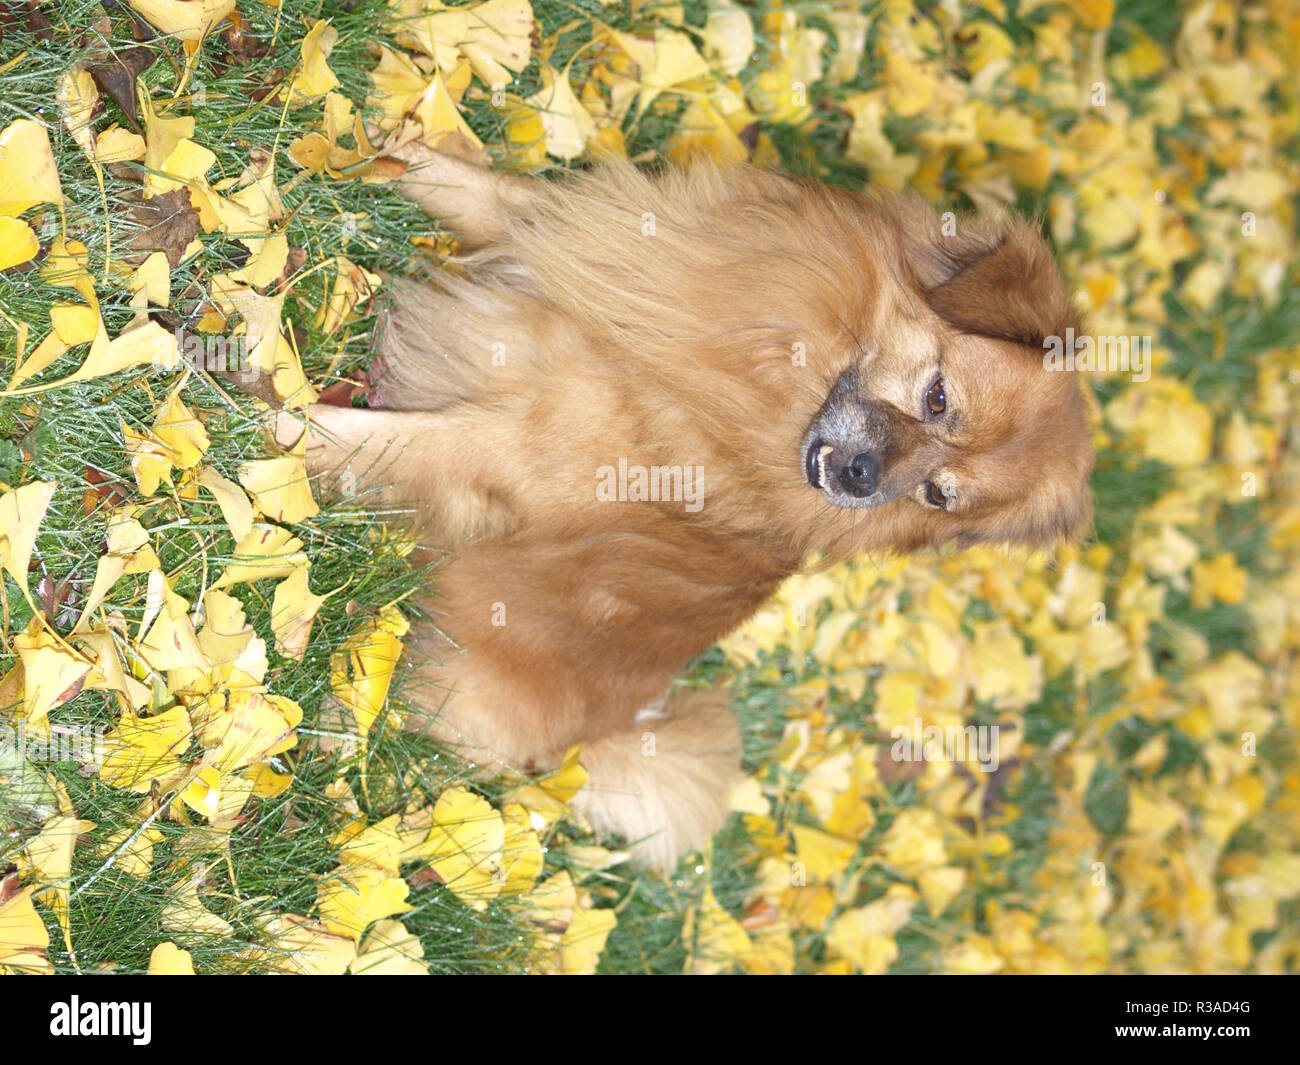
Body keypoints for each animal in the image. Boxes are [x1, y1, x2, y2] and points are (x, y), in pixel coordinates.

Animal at [279, 141, 1092, 868]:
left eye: (936, 493)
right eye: (938, 399)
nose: (863, 480)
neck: (766, 384)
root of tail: (584, 747)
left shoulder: (507, 454)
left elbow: (388, 445)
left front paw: (279, 434)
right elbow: (501, 196)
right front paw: (399, 154)